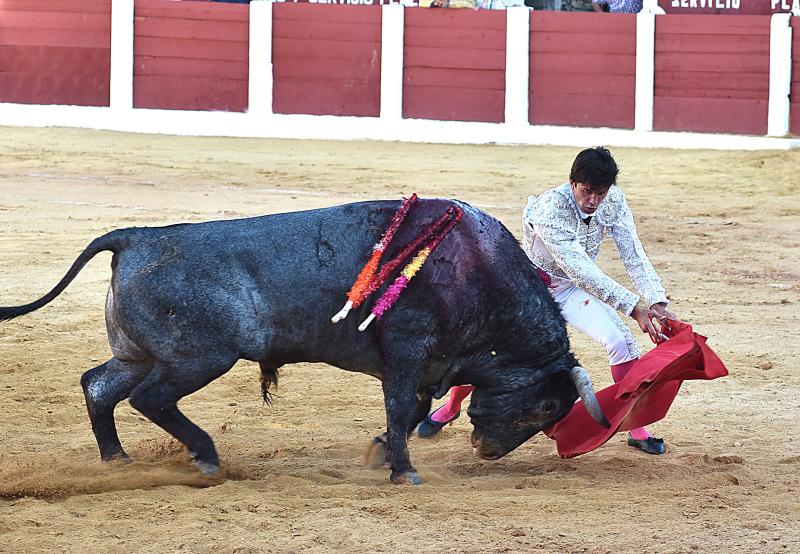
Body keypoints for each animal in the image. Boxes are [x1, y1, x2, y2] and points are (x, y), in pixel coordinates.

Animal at [0, 199, 608, 484]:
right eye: (546, 406)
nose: (486, 451)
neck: (479, 275)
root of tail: (134, 237)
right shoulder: (407, 351)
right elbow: (400, 408)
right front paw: (403, 470)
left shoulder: (426, 366)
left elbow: (409, 410)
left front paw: (382, 453)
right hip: (202, 356)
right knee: (149, 397)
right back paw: (205, 456)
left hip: (136, 353)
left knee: (99, 386)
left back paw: (118, 460)